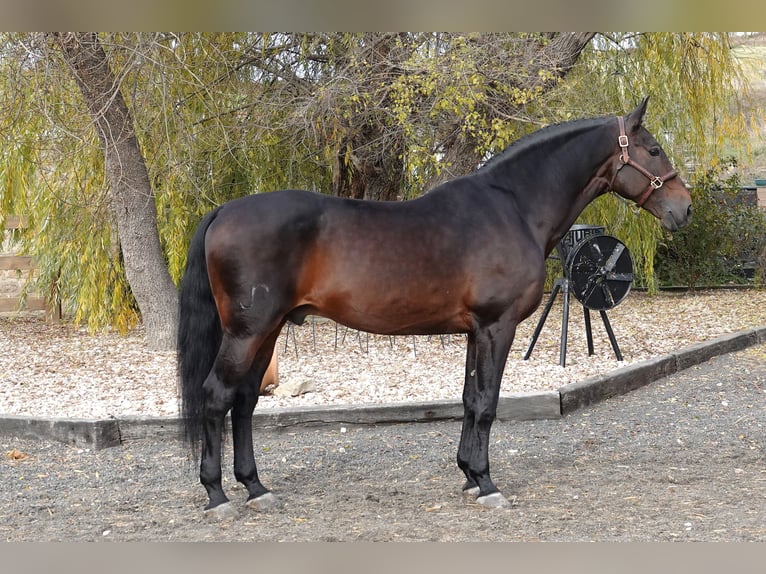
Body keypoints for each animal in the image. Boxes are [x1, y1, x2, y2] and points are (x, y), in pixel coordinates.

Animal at [177, 97, 692, 518]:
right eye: (652, 150)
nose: (684, 208)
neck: (514, 207)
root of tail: (223, 211)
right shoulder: (496, 326)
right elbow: (486, 403)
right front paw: (487, 484)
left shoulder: (474, 331)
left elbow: (468, 399)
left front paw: (468, 476)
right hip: (247, 332)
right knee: (217, 397)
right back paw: (217, 496)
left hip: (269, 330)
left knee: (244, 402)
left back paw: (256, 488)